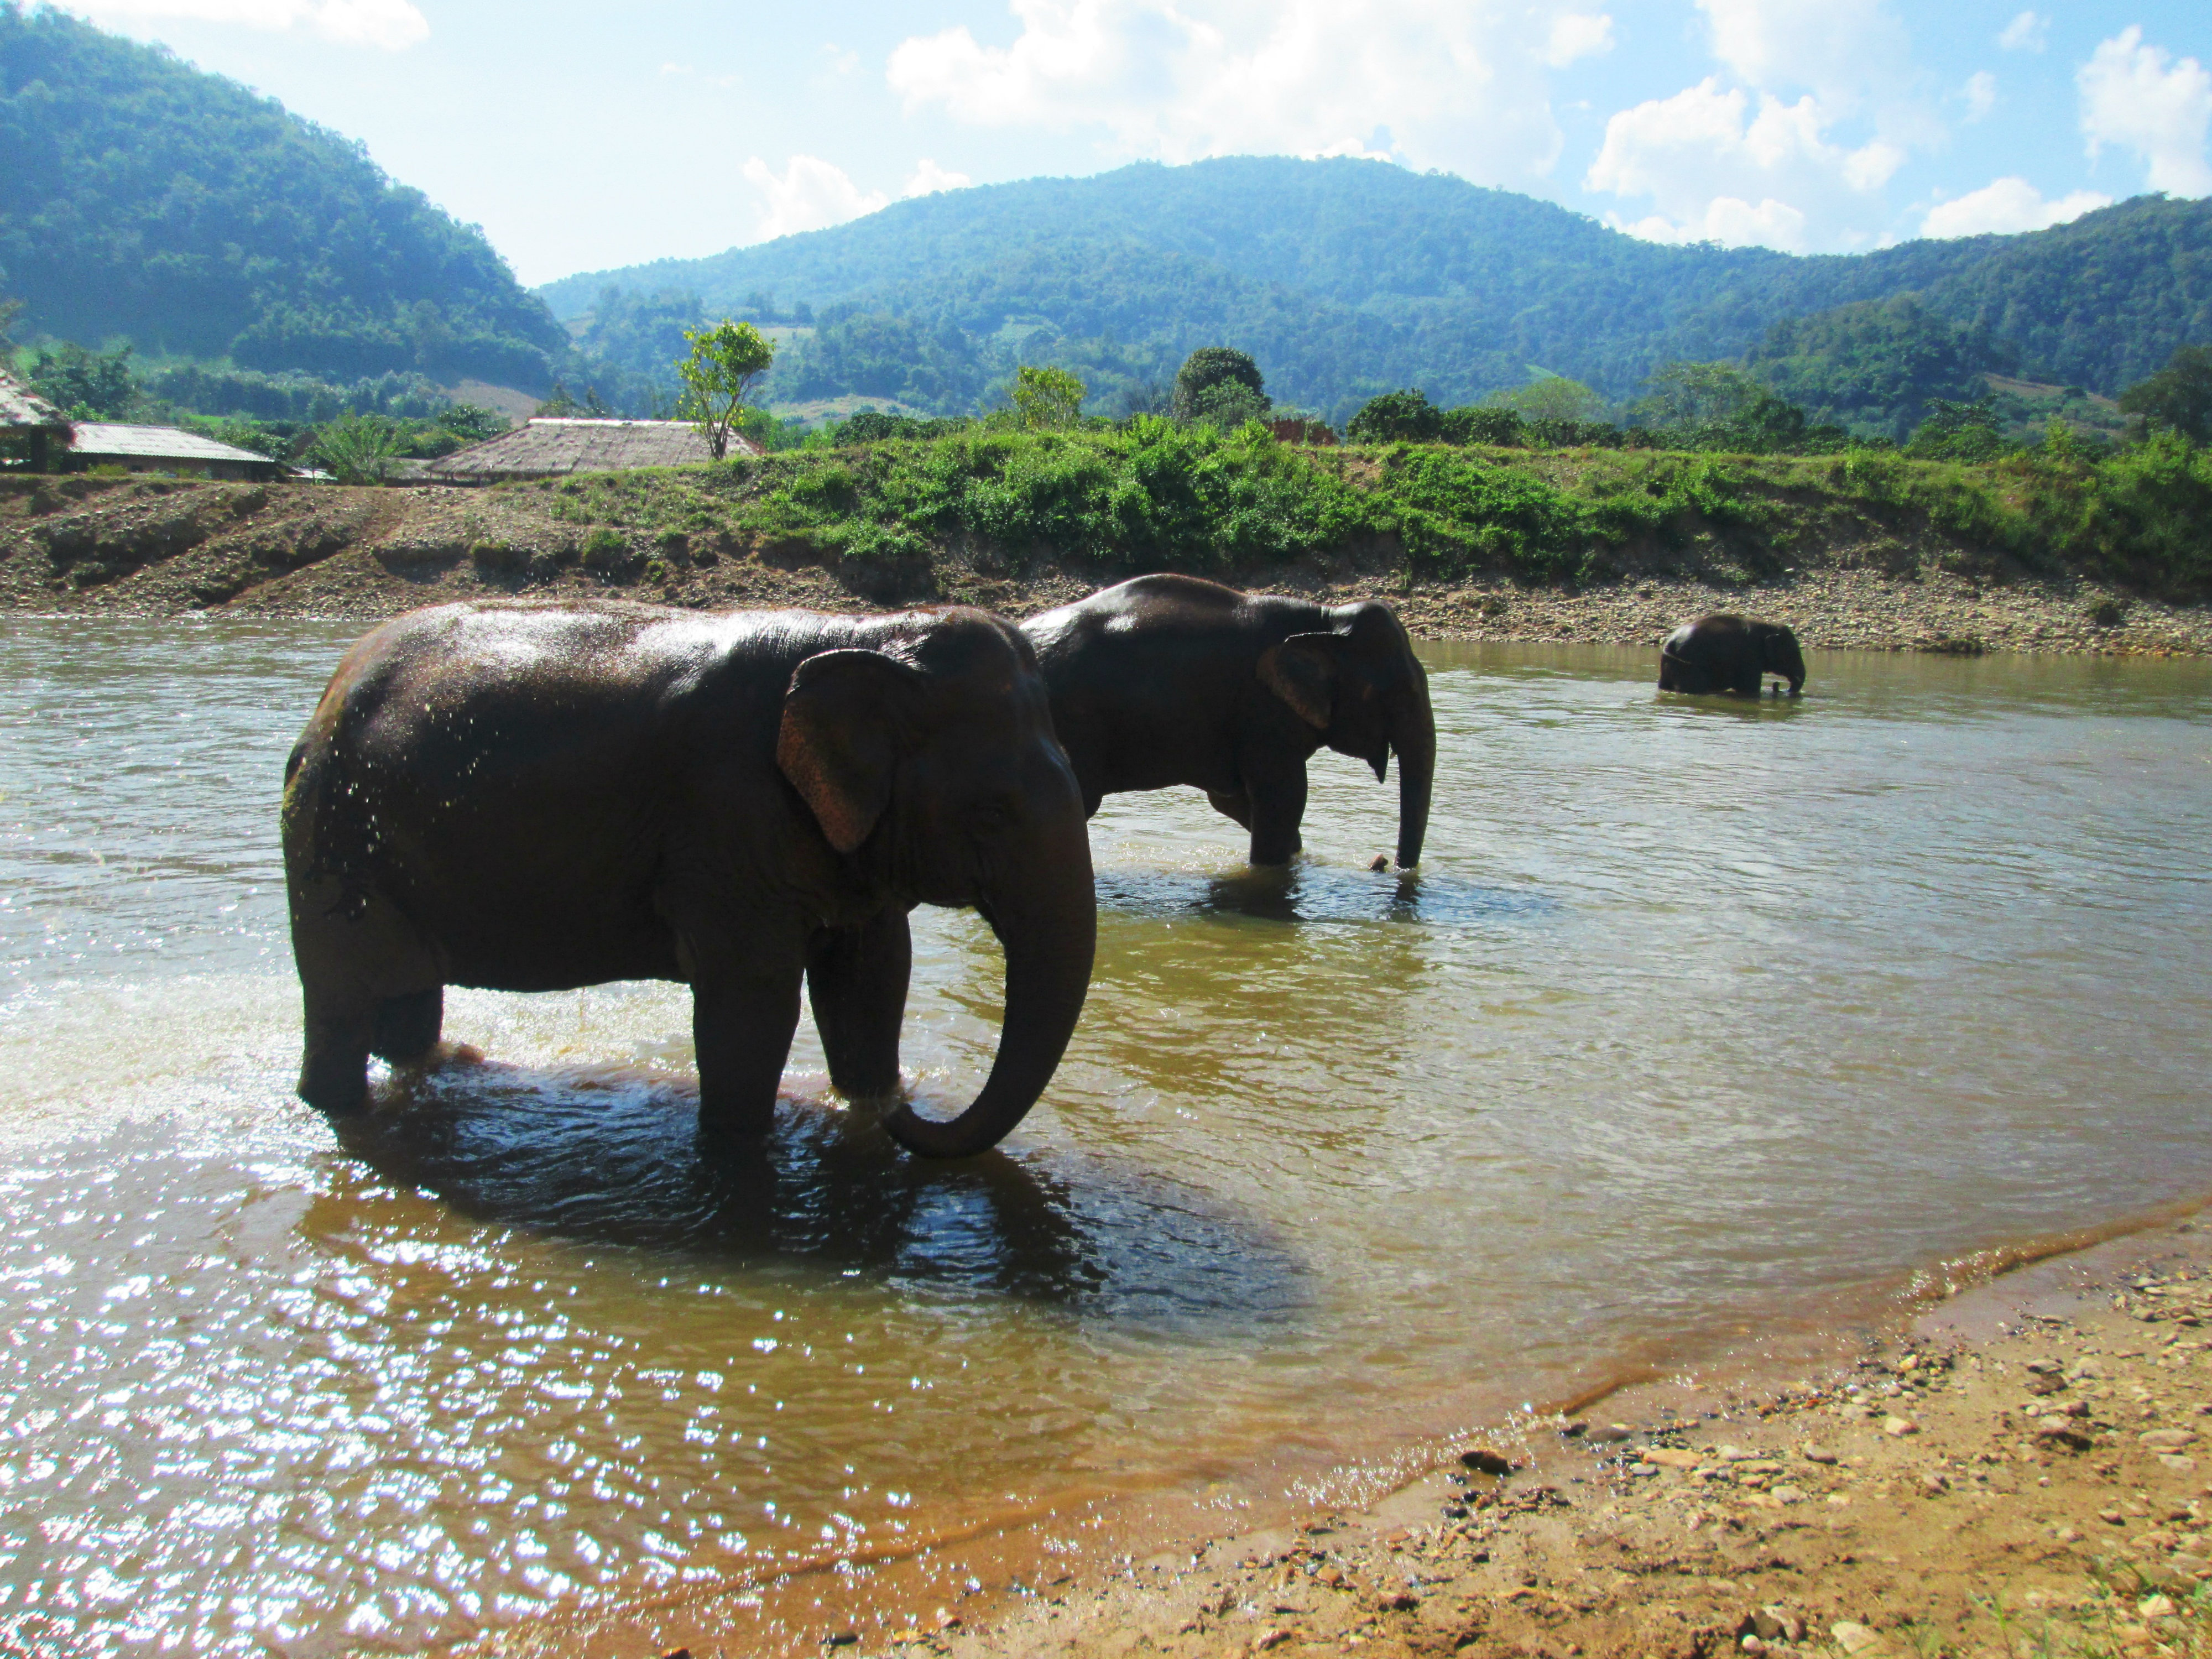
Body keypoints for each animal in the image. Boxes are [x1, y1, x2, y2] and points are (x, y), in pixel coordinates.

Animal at [281, 599, 1096, 1160]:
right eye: (991, 814)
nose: (909, 1102)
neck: (861, 633)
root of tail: (323, 702)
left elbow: (872, 975)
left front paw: (862, 1105)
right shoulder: (724, 817)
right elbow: (754, 999)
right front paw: (740, 1147)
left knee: (405, 1006)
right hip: (333, 843)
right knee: (342, 1002)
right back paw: (341, 1110)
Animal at [1019, 573, 1437, 868]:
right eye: (1401, 693)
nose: (1384, 864)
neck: (1326, 618)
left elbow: (1233, 800)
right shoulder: (1263, 711)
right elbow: (1284, 798)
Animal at [1658, 614, 1806, 696]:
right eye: (1793, 654)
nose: (1776, 685)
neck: (1768, 626)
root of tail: (1669, 644)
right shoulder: (1750, 656)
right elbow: (1750, 688)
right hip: (1689, 665)